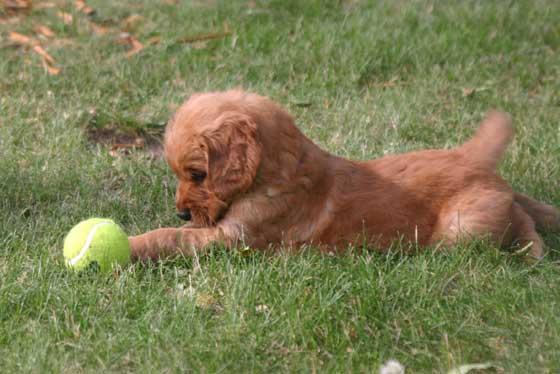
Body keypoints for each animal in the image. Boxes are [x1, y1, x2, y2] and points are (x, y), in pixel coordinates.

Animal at [128, 89, 560, 262]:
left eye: (198, 174)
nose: (182, 212)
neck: (278, 175)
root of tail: (471, 157)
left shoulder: (236, 239)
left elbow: (169, 237)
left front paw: (133, 245)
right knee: (520, 207)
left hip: (461, 227)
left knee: (512, 221)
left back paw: (532, 253)